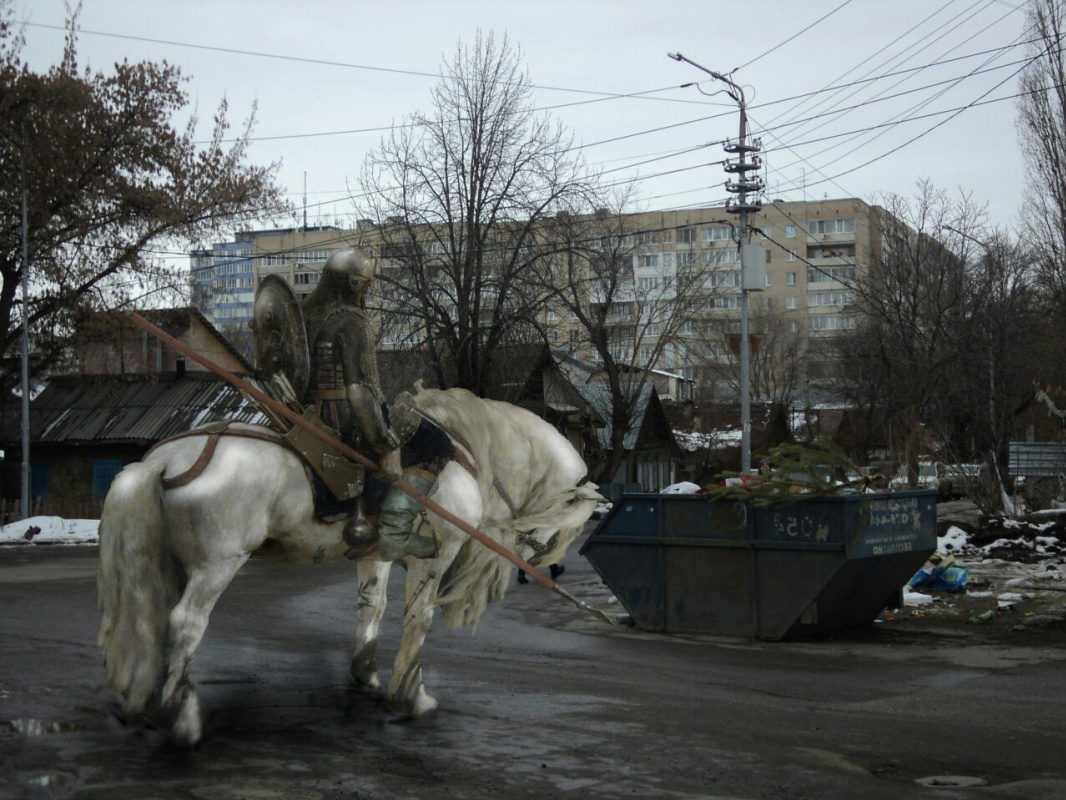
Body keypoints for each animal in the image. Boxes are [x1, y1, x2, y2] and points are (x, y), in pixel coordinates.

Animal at [97, 386, 601, 750]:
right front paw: (410, 696)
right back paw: (183, 718)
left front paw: (367, 674)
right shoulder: (433, 558)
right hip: (217, 565)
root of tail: (164, 461)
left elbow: (370, 607)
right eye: (566, 528)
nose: (542, 563)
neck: (466, 453)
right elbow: (417, 621)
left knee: (155, 617)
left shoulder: (375, 556)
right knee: (186, 622)